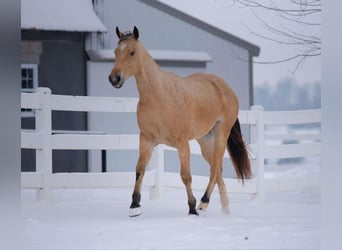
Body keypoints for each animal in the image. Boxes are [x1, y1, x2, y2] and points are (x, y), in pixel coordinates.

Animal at [109, 25, 251, 217]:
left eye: (132, 52)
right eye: (116, 52)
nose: (114, 79)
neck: (159, 96)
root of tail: (226, 88)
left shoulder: (182, 144)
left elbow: (185, 176)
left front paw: (192, 208)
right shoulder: (146, 140)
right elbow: (140, 169)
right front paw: (134, 206)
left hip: (221, 134)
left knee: (214, 169)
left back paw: (203, 204)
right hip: (205, 139)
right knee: (217, 168)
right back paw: (225, 209)